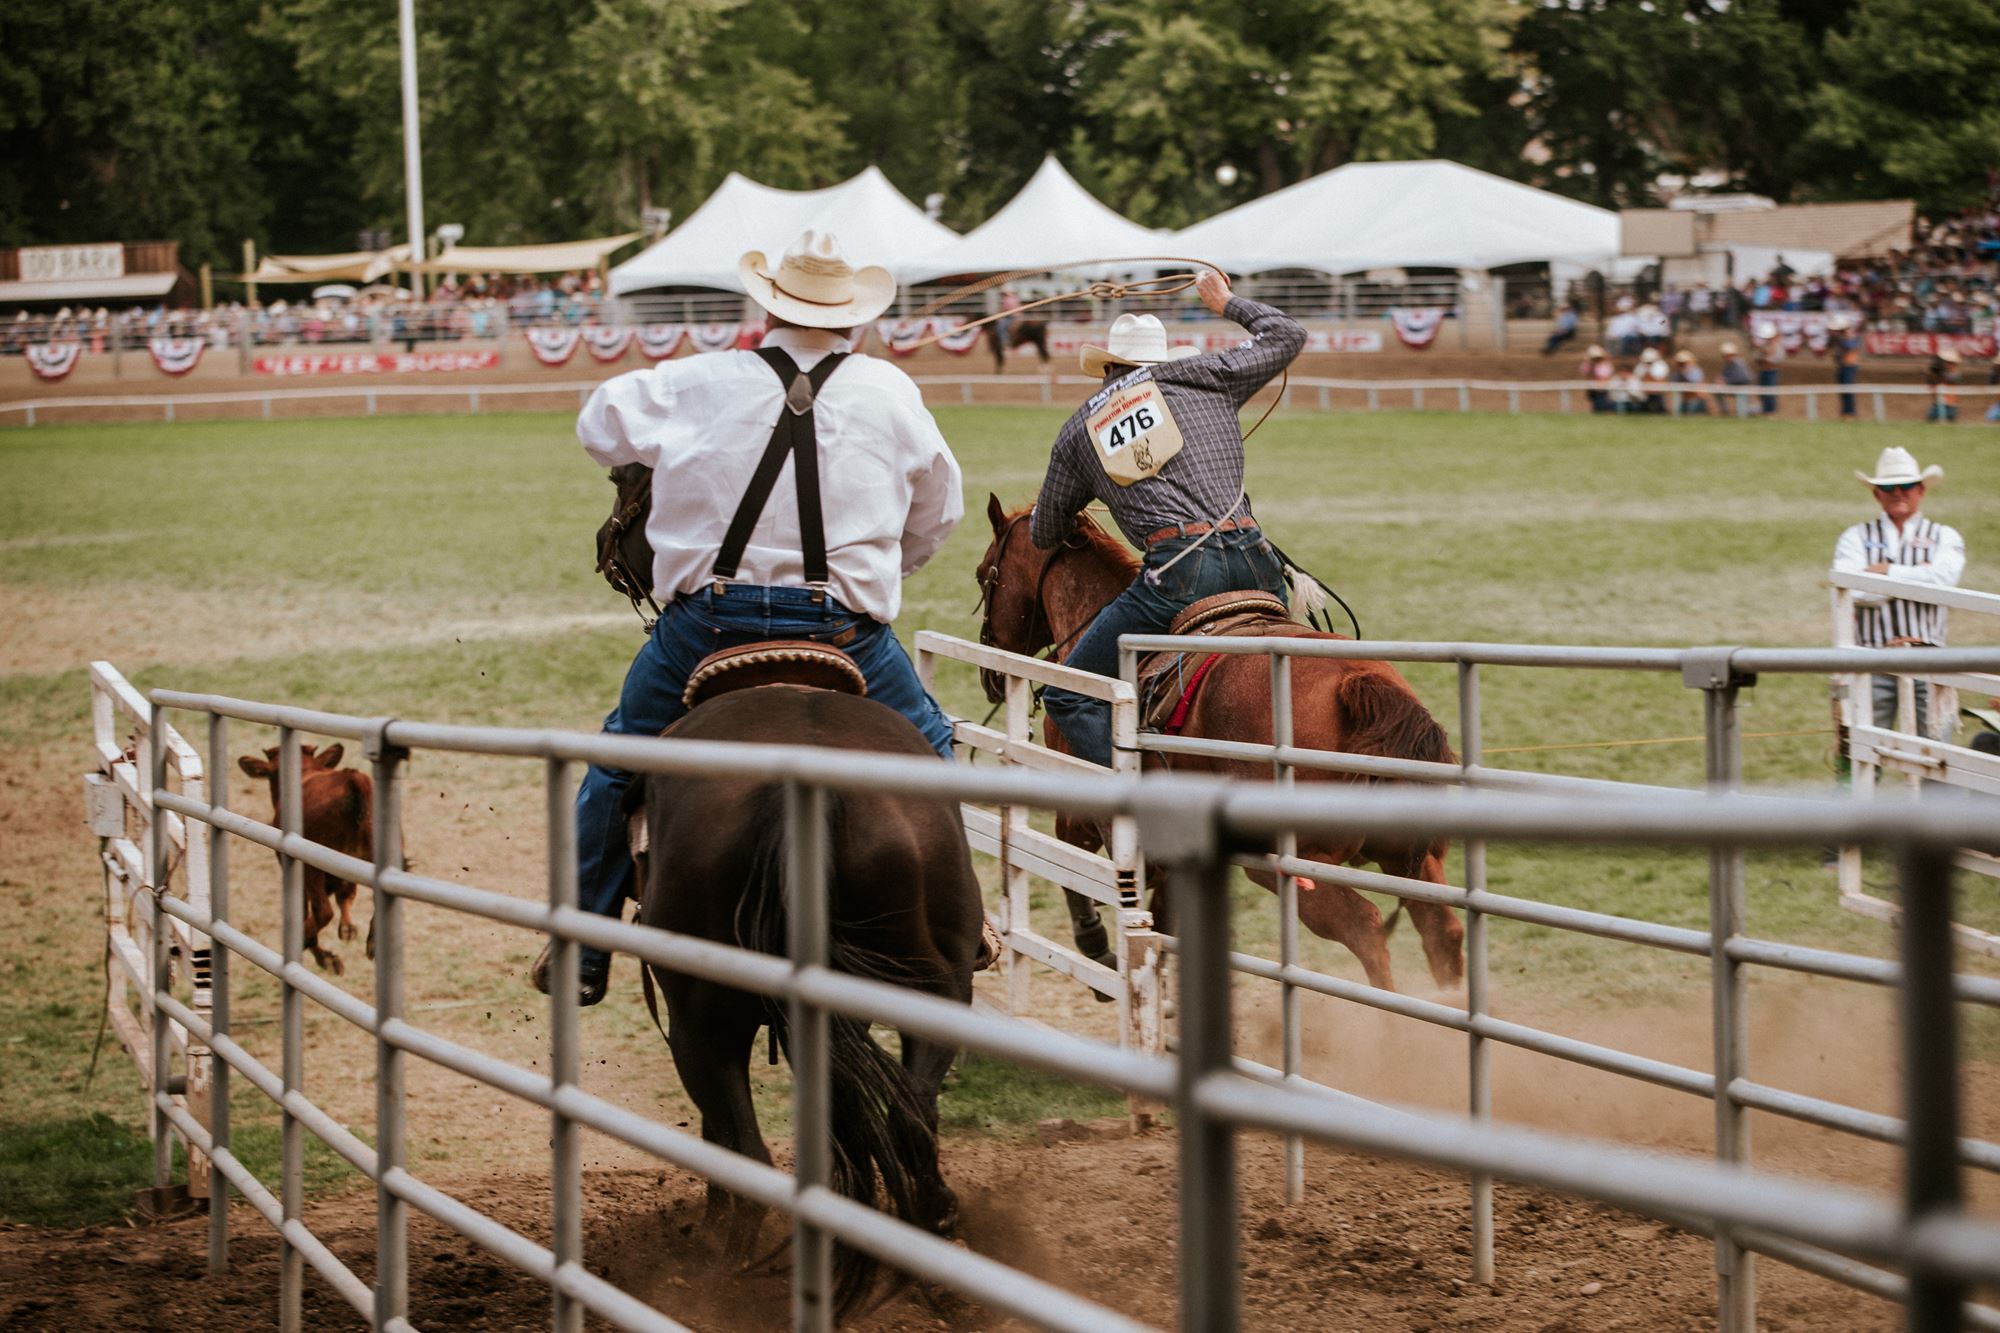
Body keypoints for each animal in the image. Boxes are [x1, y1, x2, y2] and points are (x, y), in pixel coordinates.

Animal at [239, 740, 376, 972]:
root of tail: (352, 780)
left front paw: (326, 956)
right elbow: (345, 897)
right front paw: (347, 930)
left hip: (312, 868)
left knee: (323, 911)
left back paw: (307, 943)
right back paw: (371, 942)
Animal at [632, 680, 984, 1312]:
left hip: (698, 1021)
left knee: (746, 1150)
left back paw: (724, 1276)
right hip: (937, 988)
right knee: (909, 1114)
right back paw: (933, 1241)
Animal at [972, 496, 1464, 984]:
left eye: (982, 574)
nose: (989, 677)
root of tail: (1355, 684)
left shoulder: (1078, 812)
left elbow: (1067, 868)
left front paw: (1098, 947)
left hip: (1295, 862)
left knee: (1365, 927)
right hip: (1407, 855)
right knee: (1441, 929)